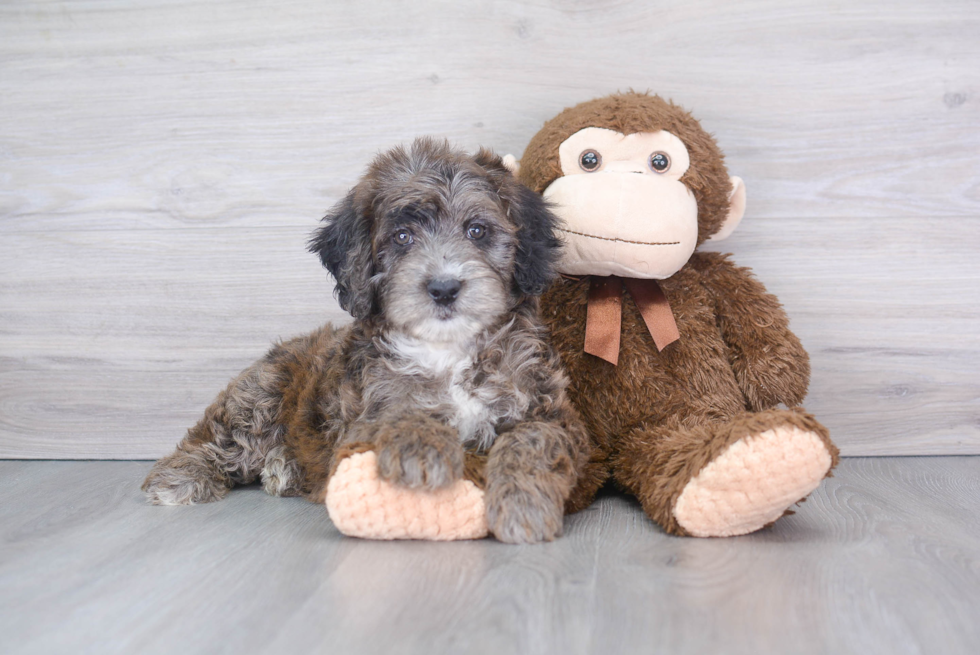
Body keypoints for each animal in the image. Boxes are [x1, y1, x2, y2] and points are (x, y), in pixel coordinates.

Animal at [142, 138, 588, 544]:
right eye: (403, 237)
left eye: (477, 230)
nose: (444, 288)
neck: (448, 350)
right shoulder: (361, 417)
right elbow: (399, 408)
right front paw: (418, 448)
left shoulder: (550, 411)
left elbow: (531, 441)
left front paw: (523, 505)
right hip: (258, 396)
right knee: (214, 441)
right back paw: (179, 477)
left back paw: (283, 469)